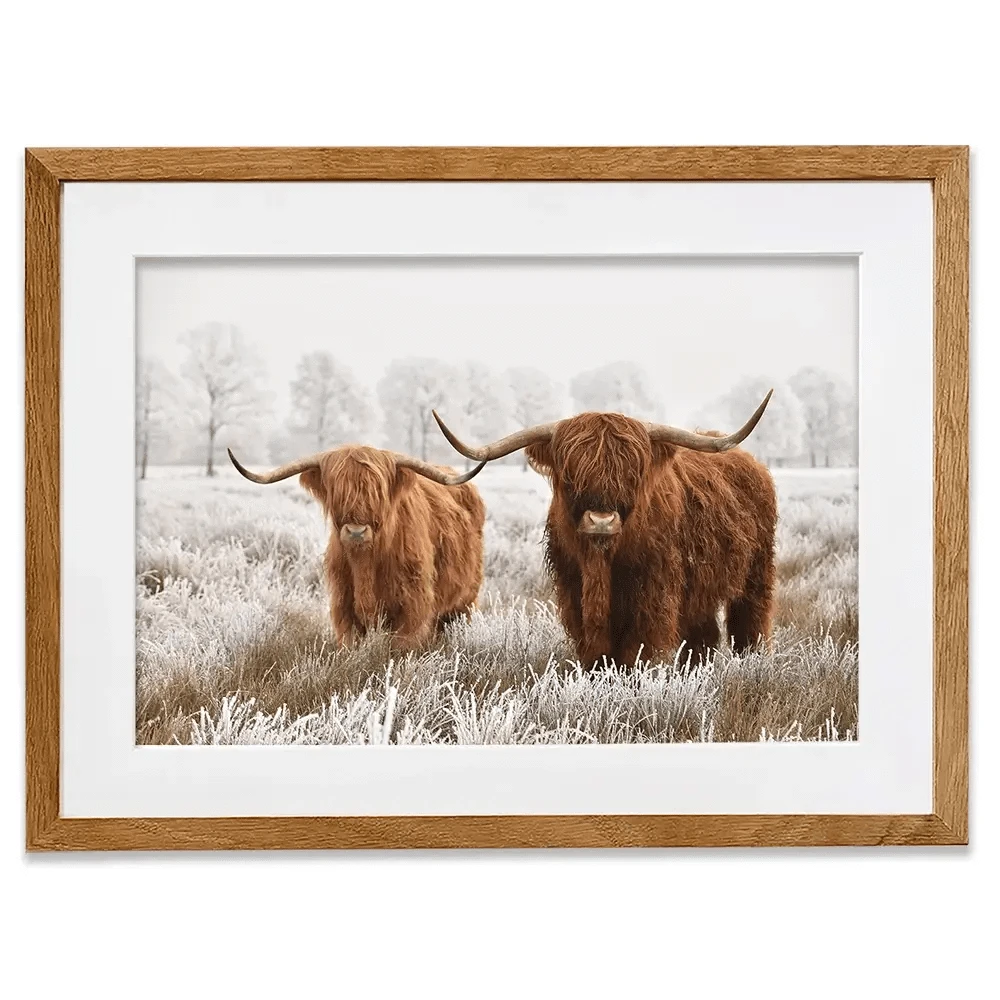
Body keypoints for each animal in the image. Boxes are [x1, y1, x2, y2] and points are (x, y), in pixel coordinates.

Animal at [228, 445, 487, 651]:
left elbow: (402, 647)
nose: (356, 531)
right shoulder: (343, 606)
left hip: (464, 602)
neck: (365, 563)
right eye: (337, 492)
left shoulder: (413, 607)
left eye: (377, 493)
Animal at [432, 393, 776, 668]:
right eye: (570, 474)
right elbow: (595, 652)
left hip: (756, 573)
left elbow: (638, 652)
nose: (601, 521)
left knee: (750, 622)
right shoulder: (573, 592)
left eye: (632, 473)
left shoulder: (654, 596)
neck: (602, 563)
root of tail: (753, 464)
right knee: (703, 635)